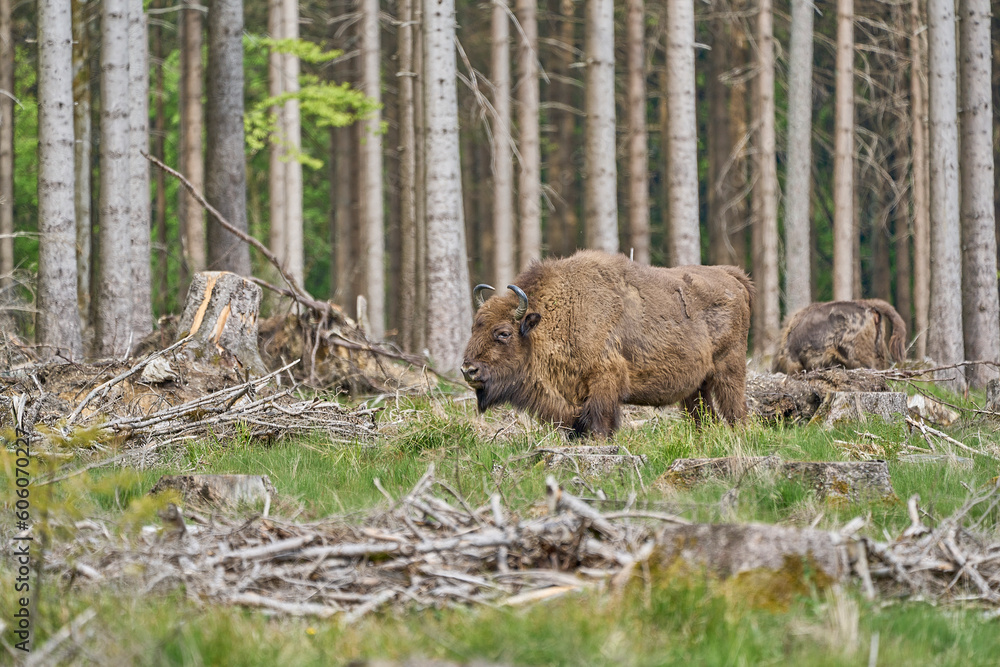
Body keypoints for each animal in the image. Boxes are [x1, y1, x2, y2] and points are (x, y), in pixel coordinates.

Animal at [461, 250, 754, 437]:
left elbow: (601, 423)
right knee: (703, 417)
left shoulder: (603, 383)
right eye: (475, 326)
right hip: (696, 386)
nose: (468, 370)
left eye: (503, 333)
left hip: (729, 370)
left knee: (736, 412)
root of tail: (731, 277)